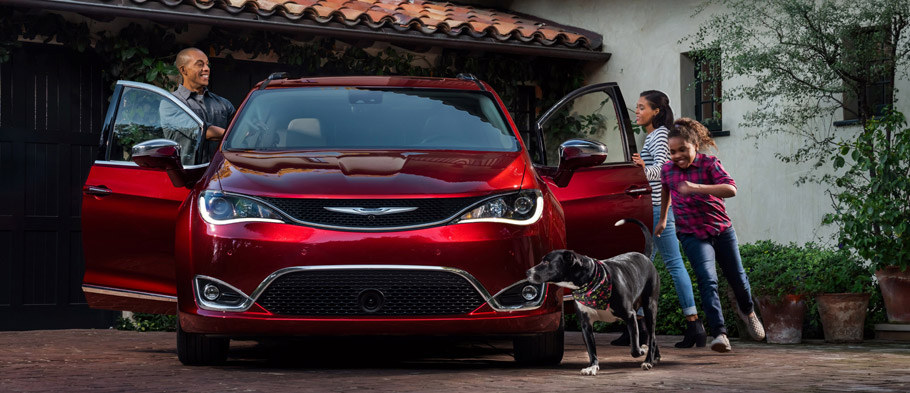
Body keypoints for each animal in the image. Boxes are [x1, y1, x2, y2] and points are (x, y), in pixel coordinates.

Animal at [528, 217, 664, 374]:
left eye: (546, 262)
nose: (528, 272)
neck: (589, 281)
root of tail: (644, 257)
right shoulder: (586, 324)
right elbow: (591, 349)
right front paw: (592, 367)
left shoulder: (630, 315)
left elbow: (635, 349)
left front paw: (641, 350)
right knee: (652, 336)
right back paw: (654, 357)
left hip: (650, 307)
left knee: (652, 335)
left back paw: (648, 360)